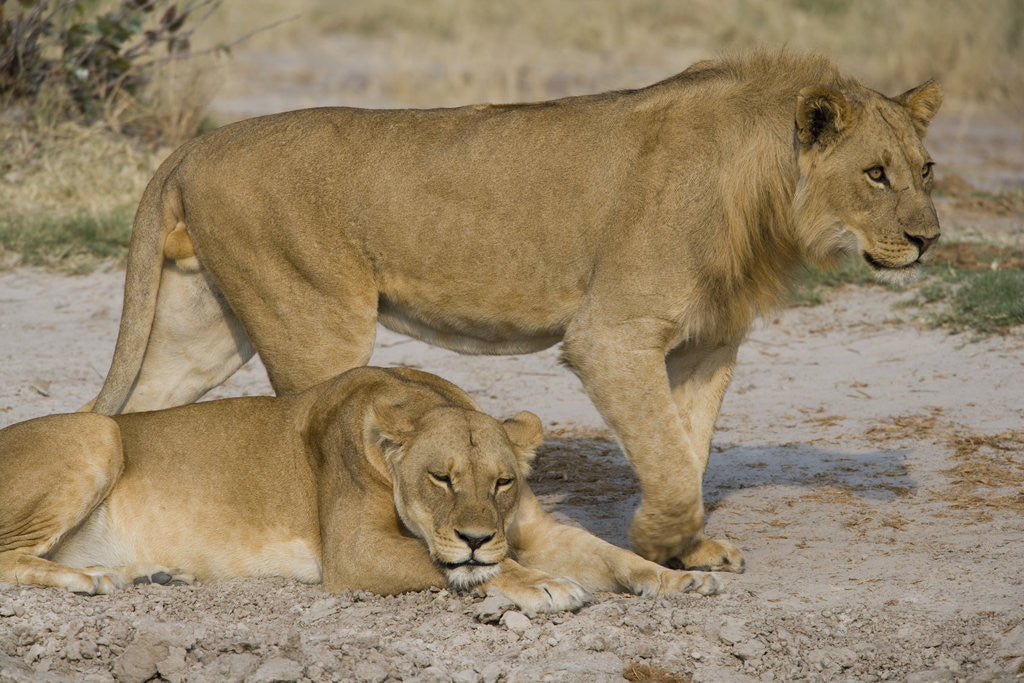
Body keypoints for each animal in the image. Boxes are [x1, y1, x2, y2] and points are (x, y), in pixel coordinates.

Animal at [1, 367, 721, 613]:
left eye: (502, 481)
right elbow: (459, 566)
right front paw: (537, 584)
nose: (476, 535)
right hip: (98, 432)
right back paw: (94, 579)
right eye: (440, 477)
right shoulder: (352, 552)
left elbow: (612, 555)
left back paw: (146, 574)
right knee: (10, 556)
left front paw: (680, 578)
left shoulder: (533, 528)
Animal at [88, 50, 942, 573]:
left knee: (133, 412)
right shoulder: (610, 334)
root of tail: (194, 146)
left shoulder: (708, 343)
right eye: (874, 173)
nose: (929, 239)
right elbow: (669, 463)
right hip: (314, 320)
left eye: (926, 169)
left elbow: (688, 446)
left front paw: (684, 550)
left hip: (205, 325)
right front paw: (652, 541)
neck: (762, 190)